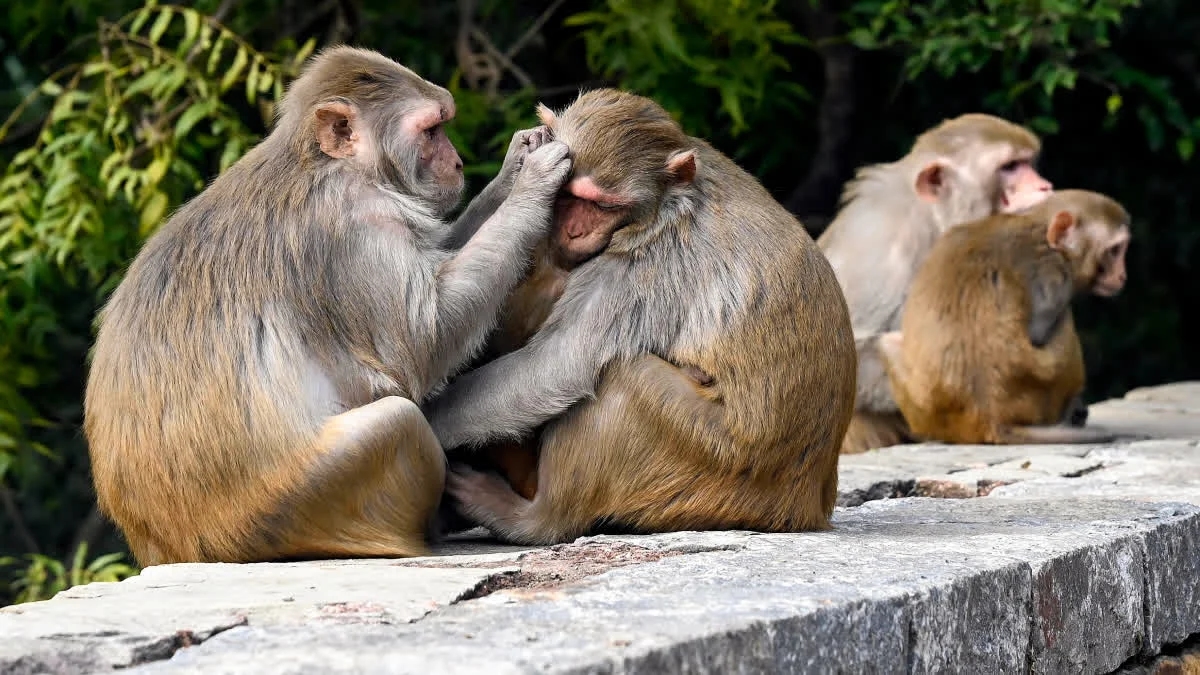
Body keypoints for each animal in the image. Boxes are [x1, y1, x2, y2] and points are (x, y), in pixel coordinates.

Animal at [82, 46, 573, 566]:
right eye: (431, 131)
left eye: (444, 125)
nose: (457, 164)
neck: (327, 164)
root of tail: (170, 544)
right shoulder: (357, 224)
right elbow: (422, 345)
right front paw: (532, 184)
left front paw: (514, 165)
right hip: (298, 505)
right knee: (400, 421)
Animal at [422, 88, 857, 546]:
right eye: (568, 196)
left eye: (603, 205)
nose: (574, 232)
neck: (665, 202)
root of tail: (803, 503)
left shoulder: (641, 265)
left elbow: (555, 367)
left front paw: (429, 421)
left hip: (714, 467)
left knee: (621, 378)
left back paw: (535, 518)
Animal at [878, 189, 1130, 445]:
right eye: (1114, 250)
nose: (1122, 275)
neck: (1041, 232)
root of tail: (988, 419)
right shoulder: (1053, 277)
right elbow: (1040, 331)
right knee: (1063, 319)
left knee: (885, 343)